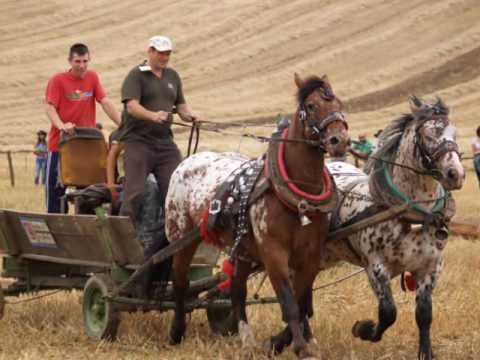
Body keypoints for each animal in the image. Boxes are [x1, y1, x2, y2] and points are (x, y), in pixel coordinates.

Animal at [165, 72, 348, 358]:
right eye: (311, 106)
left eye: (338, 102)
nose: (340, 140)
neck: (297, 196)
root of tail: (187, 162)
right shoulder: (274, 253)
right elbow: (289, 304)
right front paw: (297, 347)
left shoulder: (310, 256)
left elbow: (302, 304)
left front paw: (280, 342)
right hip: (181, 237)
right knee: (181, 282)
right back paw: (176, 332)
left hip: (243, 249)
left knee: (237, 288)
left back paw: (246, 338)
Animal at [268, 95, 464, 360]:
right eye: (429, 134)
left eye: (455, 133)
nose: (456, 174)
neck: (411, 213)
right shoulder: (376, 267)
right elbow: (388, 312)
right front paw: (363, 329)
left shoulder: (430, 268)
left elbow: (424, 315)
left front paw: (426, 353)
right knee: (296, 299)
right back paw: (289, 340)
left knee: (304, 298)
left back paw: (304, 338)